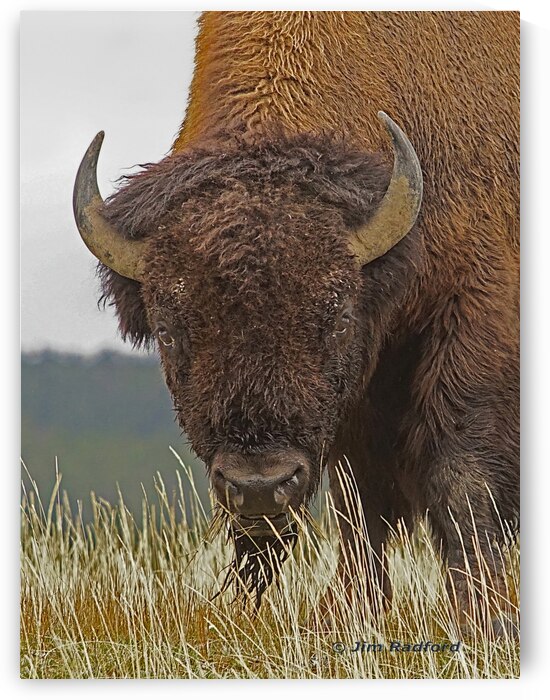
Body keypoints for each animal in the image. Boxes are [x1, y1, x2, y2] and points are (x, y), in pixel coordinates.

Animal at [73, 11, 519, 621]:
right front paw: (352, 607)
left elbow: (459, 473)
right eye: (168, 332)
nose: (260, 486)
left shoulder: (473, 314)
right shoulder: (359, 393)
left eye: (338, 319)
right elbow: (359, 494)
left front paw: (484, 617)